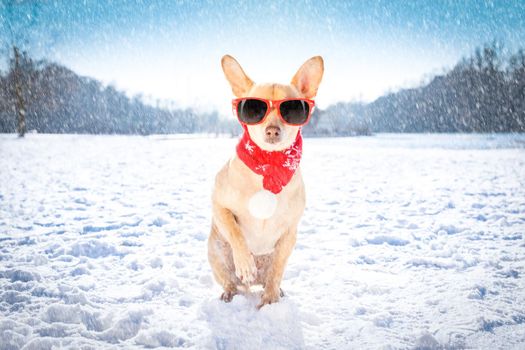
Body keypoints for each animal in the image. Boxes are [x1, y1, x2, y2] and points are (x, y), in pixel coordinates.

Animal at [207, 54, 322, 308]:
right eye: (254, 108)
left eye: (291, 108)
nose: (272, 130)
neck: (267, 166)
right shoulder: (220, 206)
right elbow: (235, 232)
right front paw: (245, 263)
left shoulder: (289, 231)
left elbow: (277, 270)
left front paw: (269, 302)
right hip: (216, 253)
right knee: (229, 281)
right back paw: (231, 292)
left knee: (272, 276)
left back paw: (276, 291)